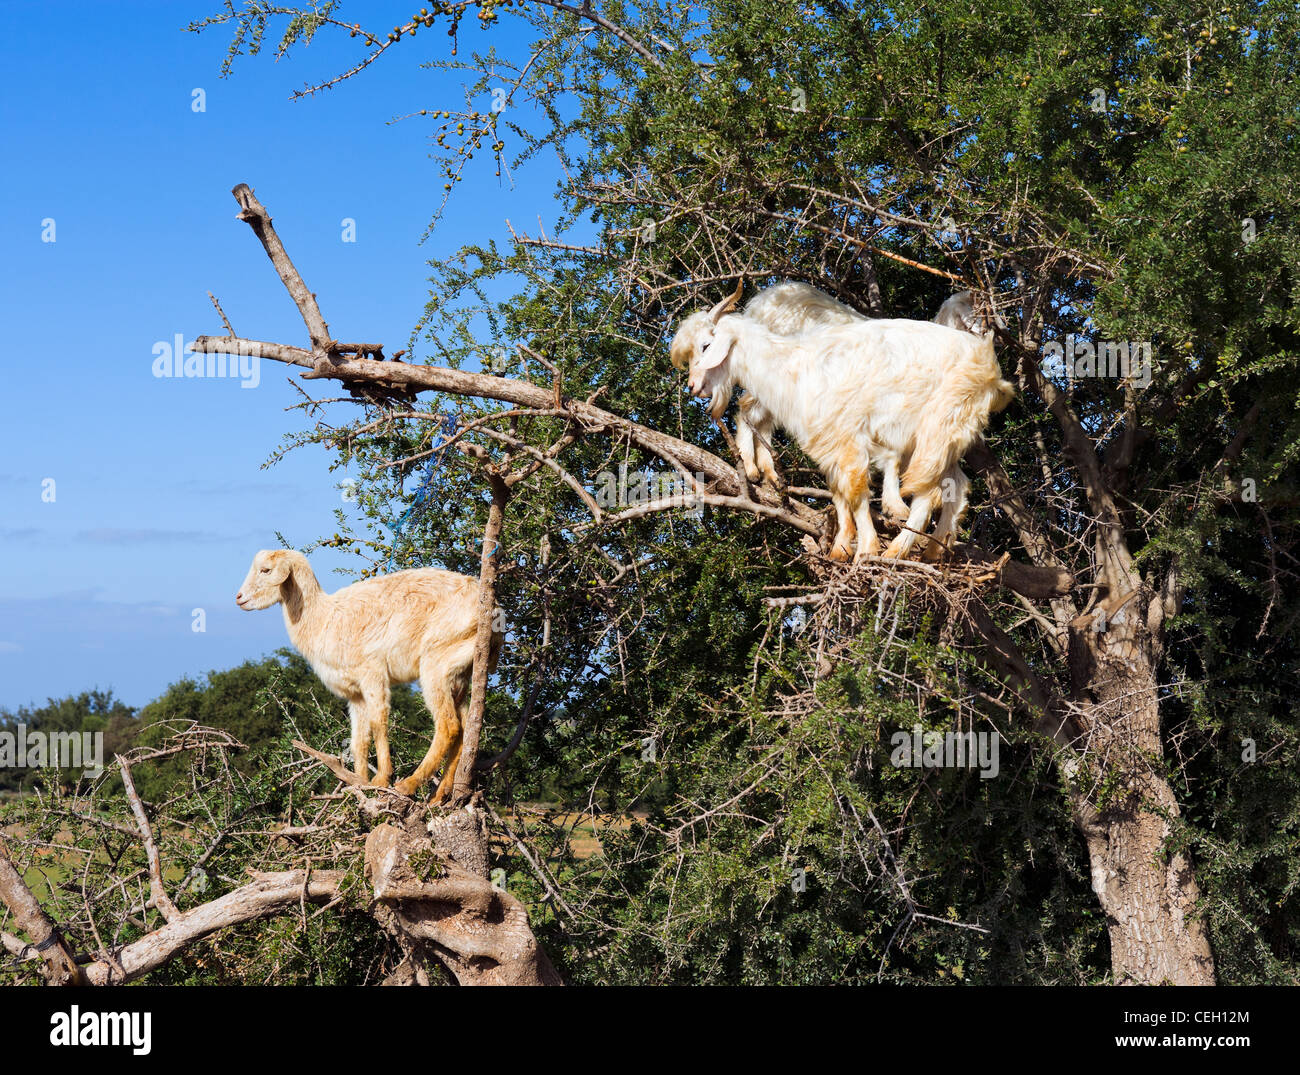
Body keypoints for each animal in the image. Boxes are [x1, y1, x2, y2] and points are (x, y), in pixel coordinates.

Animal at [233, 553, 501, 800]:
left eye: (266, 570)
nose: (239, 598)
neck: (323, 619)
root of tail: (496, 614)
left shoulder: (372, 672)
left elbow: (378, 723)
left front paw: (381, 779)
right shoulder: (355, 693)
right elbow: (358, 740)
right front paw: (359, 783)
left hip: (436, 661)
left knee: (448, 725)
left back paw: (409, 784)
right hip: (457, 672)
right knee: (464, 726)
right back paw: (440, 794)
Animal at [670, 285, 1013, 564]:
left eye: (706, 346)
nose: (693, 386)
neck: (792, 364)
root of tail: (991, 372)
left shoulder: (850, 437)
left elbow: (857, 491)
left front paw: (866, 548)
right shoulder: (831, 441)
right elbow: (842, 492)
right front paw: (842, 547)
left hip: (937, 428)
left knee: (932, 491)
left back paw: (898, 549)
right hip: (945, 436)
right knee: (953, 485)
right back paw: (931, 549)